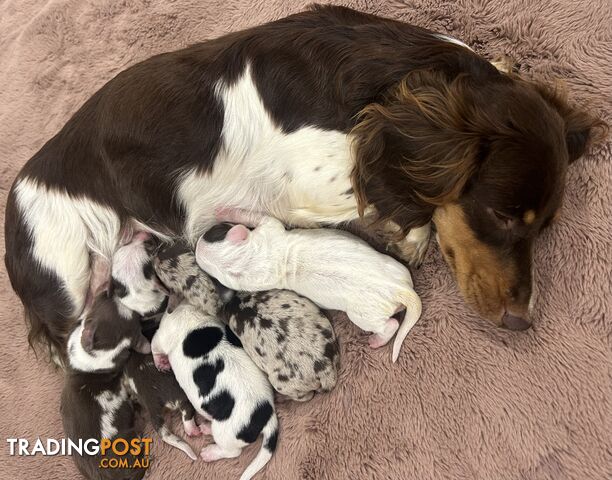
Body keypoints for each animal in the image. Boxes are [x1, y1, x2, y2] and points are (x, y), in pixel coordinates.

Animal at [151, 304, 280, 480]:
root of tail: (268, 417)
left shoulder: (161, 336)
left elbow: (154, 347)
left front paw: (161, 362)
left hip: (225, 433)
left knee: (233, 452)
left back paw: (210, 453)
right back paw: (206, 428)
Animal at [195, 208, 420, 362]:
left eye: (213, 232)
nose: (196, 244)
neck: (246, 262)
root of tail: (401, 289)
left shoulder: (269, 232)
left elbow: (261, 218)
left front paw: (227, 210)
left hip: (394, 268)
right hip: (365, 314)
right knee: (390, 325)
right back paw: (378, 340)